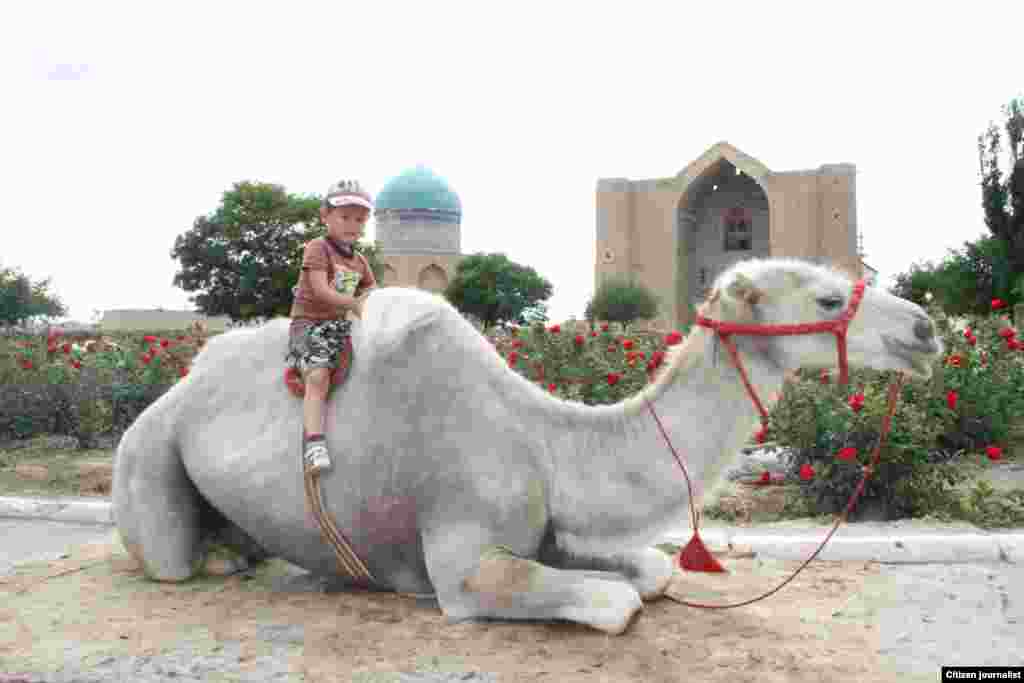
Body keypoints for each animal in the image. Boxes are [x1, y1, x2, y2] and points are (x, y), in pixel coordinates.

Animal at [114, 258, 942, 634]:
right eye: (827, 296)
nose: (927, 327)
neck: (544, 437)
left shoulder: (550, 523)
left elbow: (651, 569)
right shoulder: (464, 561)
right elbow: (615, 600)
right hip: (147, 460)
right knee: (170, 556)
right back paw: (219, 557)